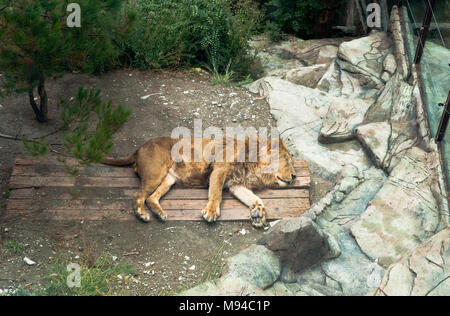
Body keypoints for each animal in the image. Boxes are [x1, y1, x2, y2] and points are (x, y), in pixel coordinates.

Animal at [103, 136, 298, 227]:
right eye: (288, 160)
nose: (295, 176)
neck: (253, 164)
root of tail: (138, 149)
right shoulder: (219, 169)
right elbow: (216, 193)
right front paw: (211, 213)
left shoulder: (236, 184)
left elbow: (254, 198)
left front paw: (259, 213)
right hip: (155, 173)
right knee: (138, 195)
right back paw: (141, 214)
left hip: (169, 179)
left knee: (151, 198)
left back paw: (159, 213)